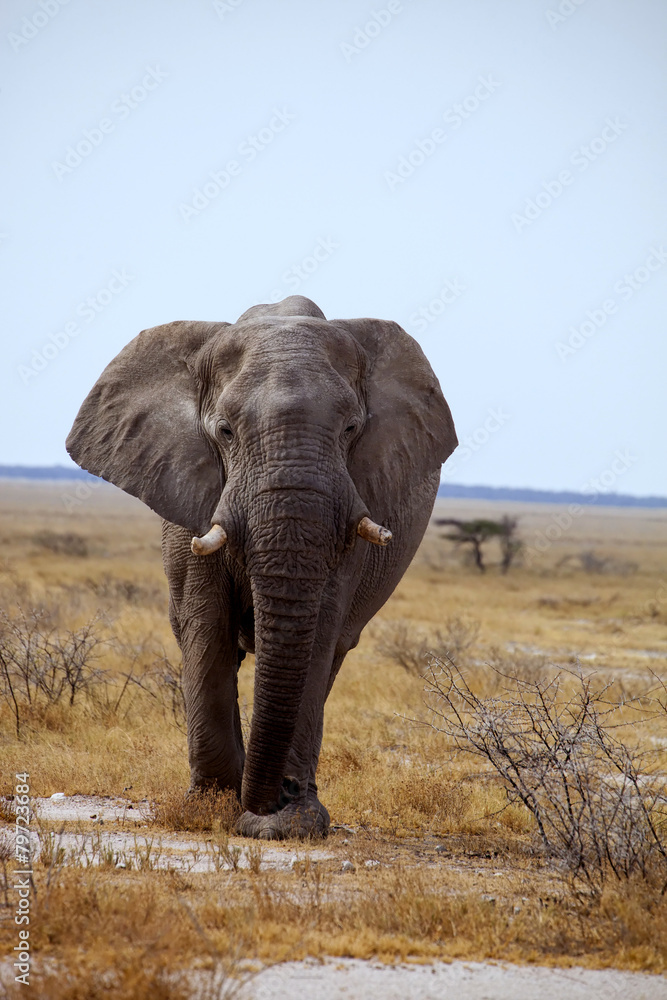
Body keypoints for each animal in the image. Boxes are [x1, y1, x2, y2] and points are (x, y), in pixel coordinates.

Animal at [66, 296, 457, 839]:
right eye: (225, 431)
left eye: (351, 429)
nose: (267, 801)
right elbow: (206, 625)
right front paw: (210, 810)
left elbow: (319, 629)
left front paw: (284, 824)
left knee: (333, 654)